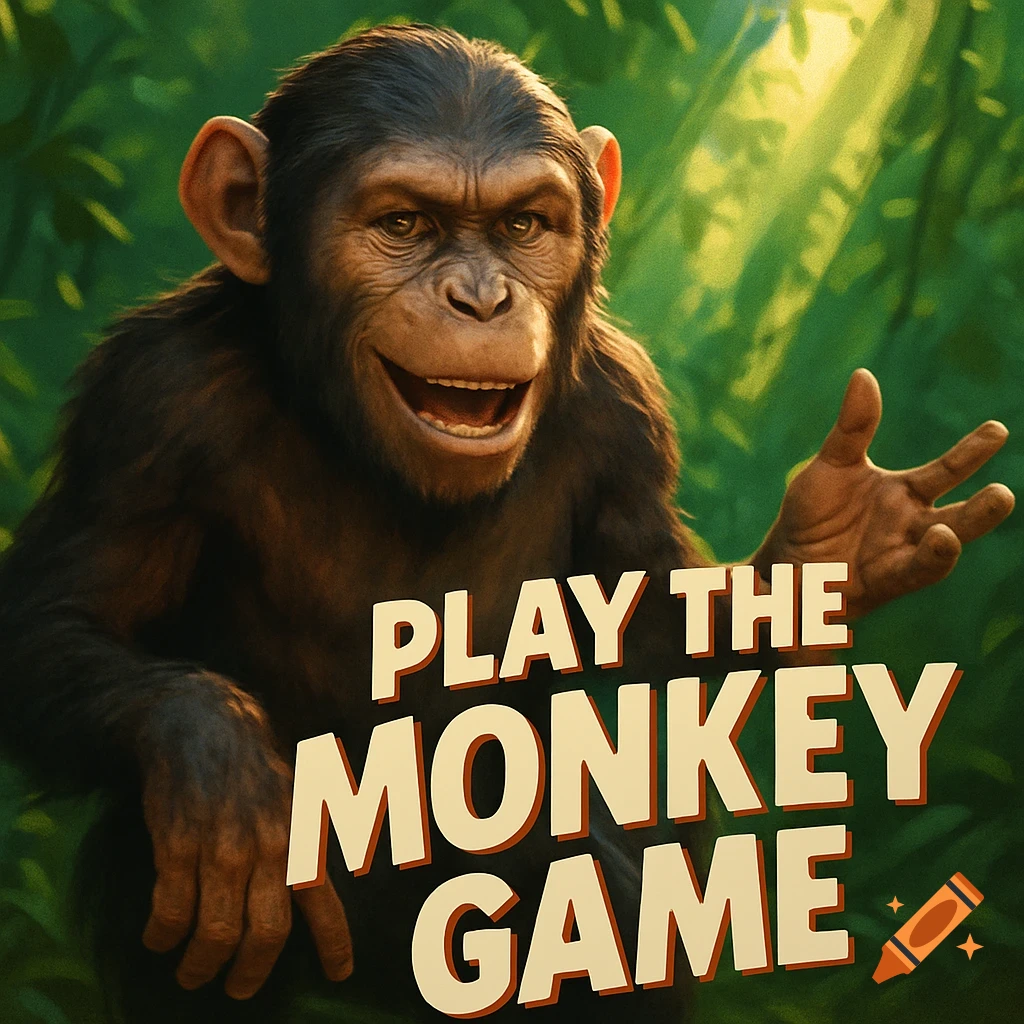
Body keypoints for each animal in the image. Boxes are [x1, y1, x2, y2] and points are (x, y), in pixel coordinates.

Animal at [0, 23, 1013, 1024]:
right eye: (404, 224)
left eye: (523, 225)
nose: (482, 298)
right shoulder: (151, 401)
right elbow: (60, 623)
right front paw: (212, 750)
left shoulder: (623, 415)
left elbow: (653, 623)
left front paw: (833, 547)